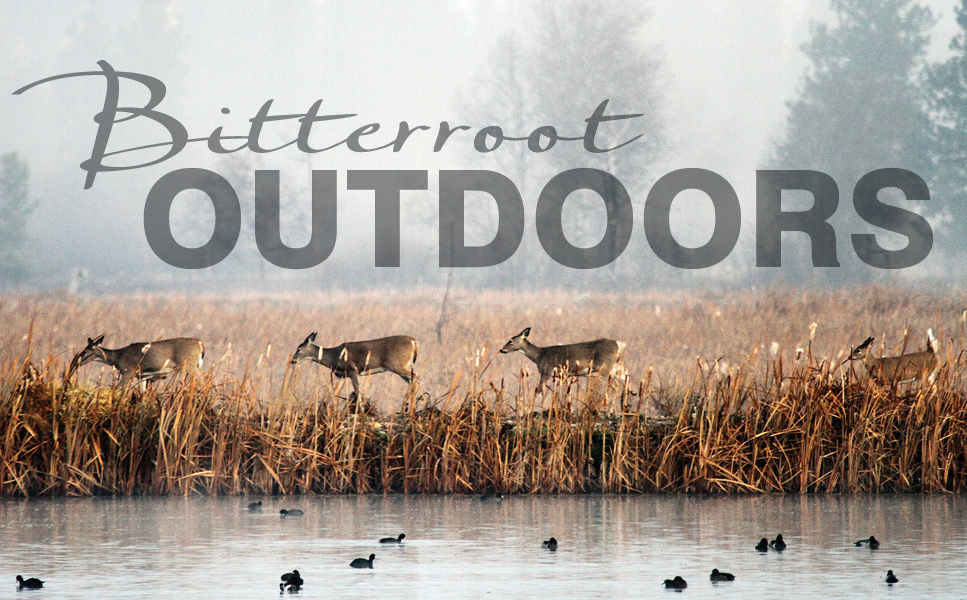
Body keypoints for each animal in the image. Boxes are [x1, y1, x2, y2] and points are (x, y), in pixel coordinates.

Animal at [67, 336, 207, 386]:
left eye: (84, 352)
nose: (75, 362)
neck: (117, 357)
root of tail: (200, 343)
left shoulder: (128, 371)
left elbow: (119, 389)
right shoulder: (143, 376)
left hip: (189, 365)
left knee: (204, 378)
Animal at [292, 332, 420, 398]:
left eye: (298, 349)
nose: (292, 360)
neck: (334, 356)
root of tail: (413, 341)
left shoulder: (353, 369)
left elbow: (358, 391)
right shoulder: (343, 375)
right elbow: (335, 393)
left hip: (396, 364)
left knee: (416, 376)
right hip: (403, 366)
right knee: (414, 380)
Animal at [500, 328, 628, 394]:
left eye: (510, 341)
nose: (502, 349)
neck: (539, 356)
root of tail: (619, 345)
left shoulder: (546, 372)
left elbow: (538, 391)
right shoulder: (560, 376)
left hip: (605, 367)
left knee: (615, 386)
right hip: (615, 367)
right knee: (625, 379)